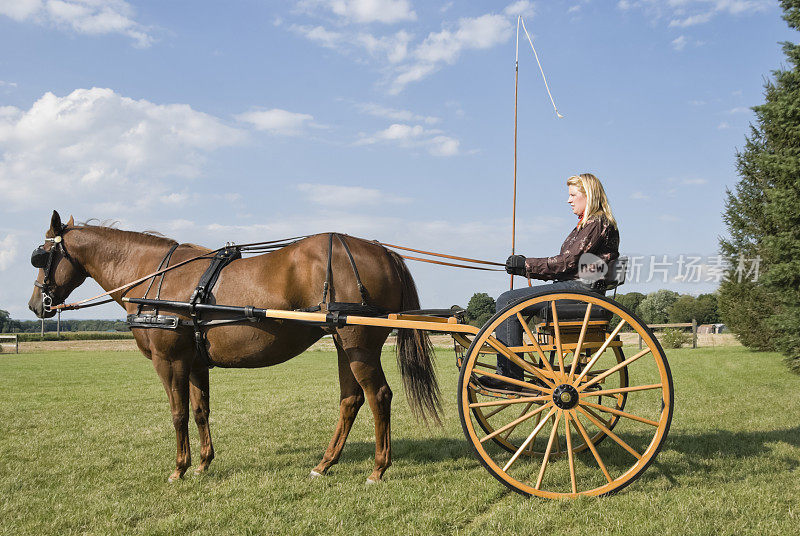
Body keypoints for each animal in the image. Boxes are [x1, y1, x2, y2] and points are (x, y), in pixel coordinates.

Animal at [28, 211, 440, 484]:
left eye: (42, 256)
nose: (36, 305)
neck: (156, 277)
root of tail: (383, 251)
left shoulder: (168, 361)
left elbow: (177, 414)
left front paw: (179, 468)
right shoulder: (194, 362)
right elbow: (200, 412)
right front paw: (202, 463)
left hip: (360, 346)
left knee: (378, 396)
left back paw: (378, 468)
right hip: (345, 345)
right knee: (351, 401)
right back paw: (325, 463)